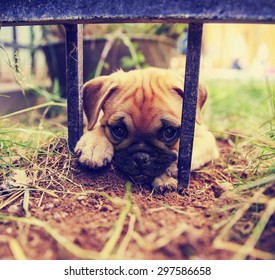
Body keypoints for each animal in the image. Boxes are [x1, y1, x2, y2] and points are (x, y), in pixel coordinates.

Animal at [75, 68, 220, 192]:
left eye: (169, 132)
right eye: (119, 131)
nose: (141, 157)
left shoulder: (205, 138)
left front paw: (167, 175)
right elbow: (97, 126)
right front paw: (94, 145)